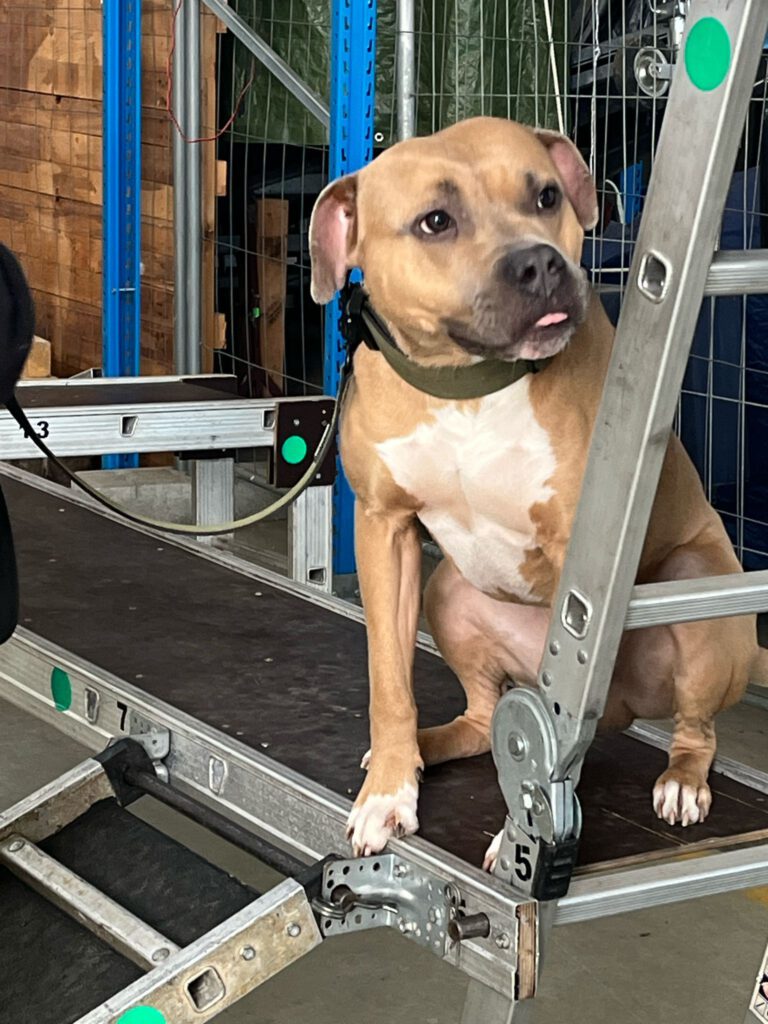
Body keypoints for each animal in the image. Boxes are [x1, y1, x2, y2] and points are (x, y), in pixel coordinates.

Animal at [309, 116, 768, 862]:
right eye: (436, 221)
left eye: (547, 196)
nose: (541, 263)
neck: (471, 385)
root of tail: (623, 710)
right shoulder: (384, 529)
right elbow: (389, 679)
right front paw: (389, 786)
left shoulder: (572, 562)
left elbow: (545, 738)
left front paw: (518, 827)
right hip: (448, 593)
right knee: (486, 718)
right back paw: (426, 747)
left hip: (696, 598)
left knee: (692, 728)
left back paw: (681, 782)